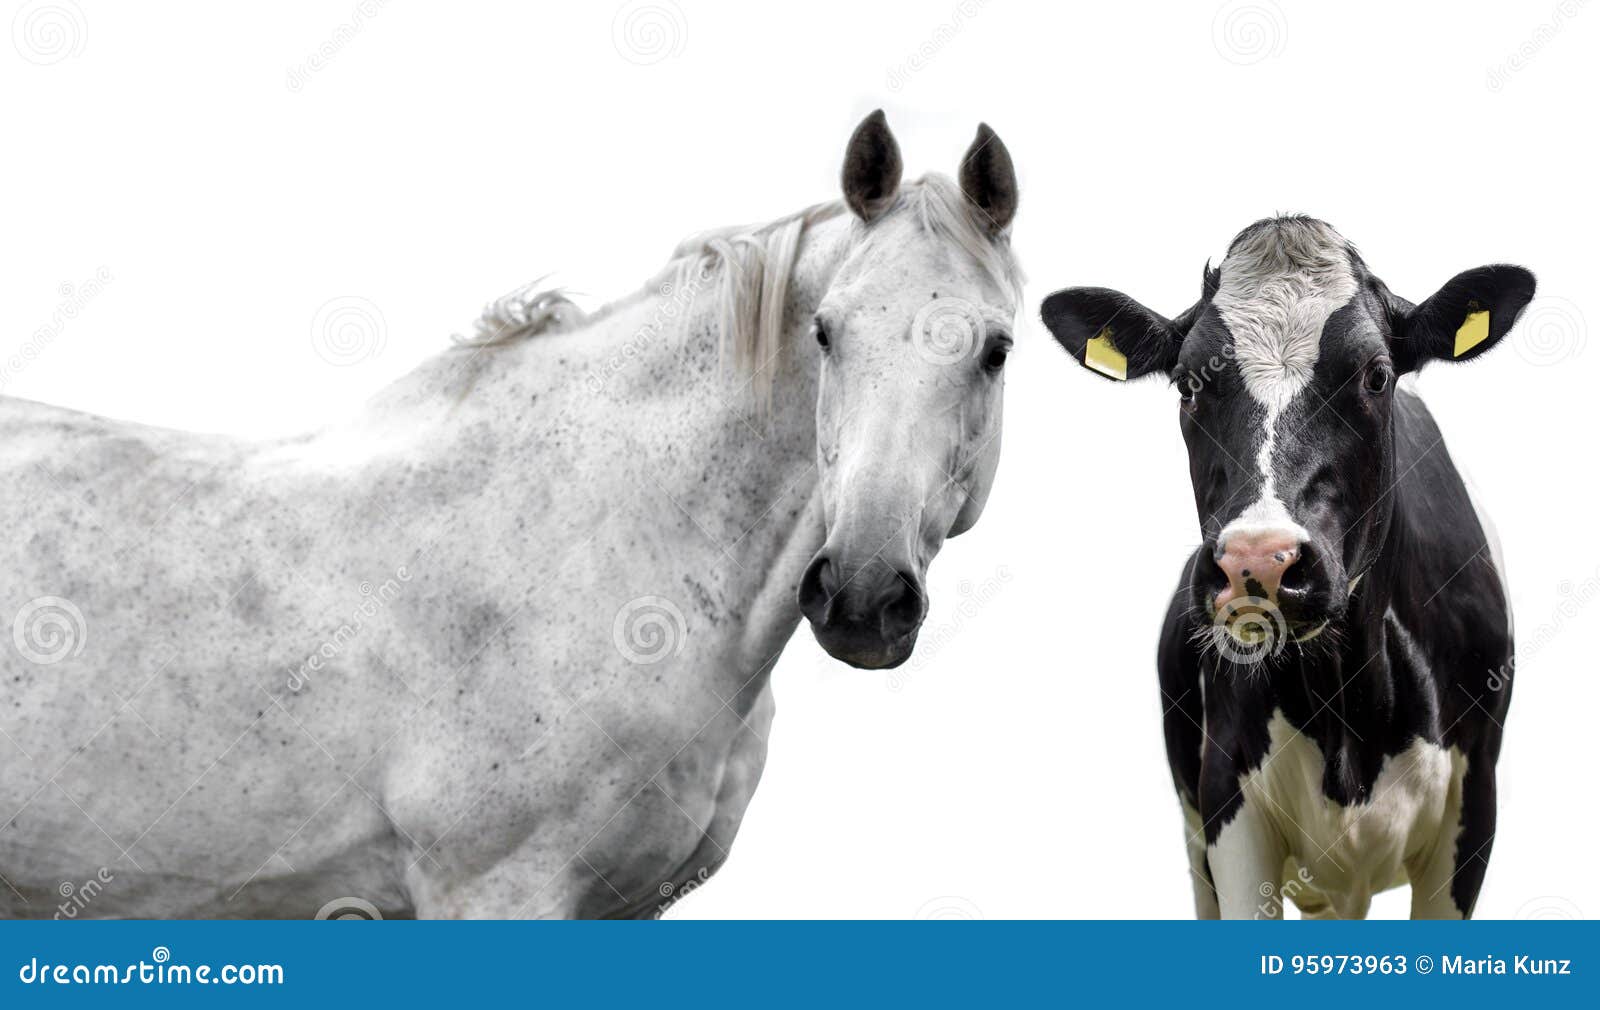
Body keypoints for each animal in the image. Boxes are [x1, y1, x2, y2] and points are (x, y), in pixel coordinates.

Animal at [1043, 217, 1529, 921]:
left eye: (1377, 375)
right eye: (1188, 382)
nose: (1259, 561)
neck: (1350, 703)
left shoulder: (1473, 808)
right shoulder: (1227, 803)